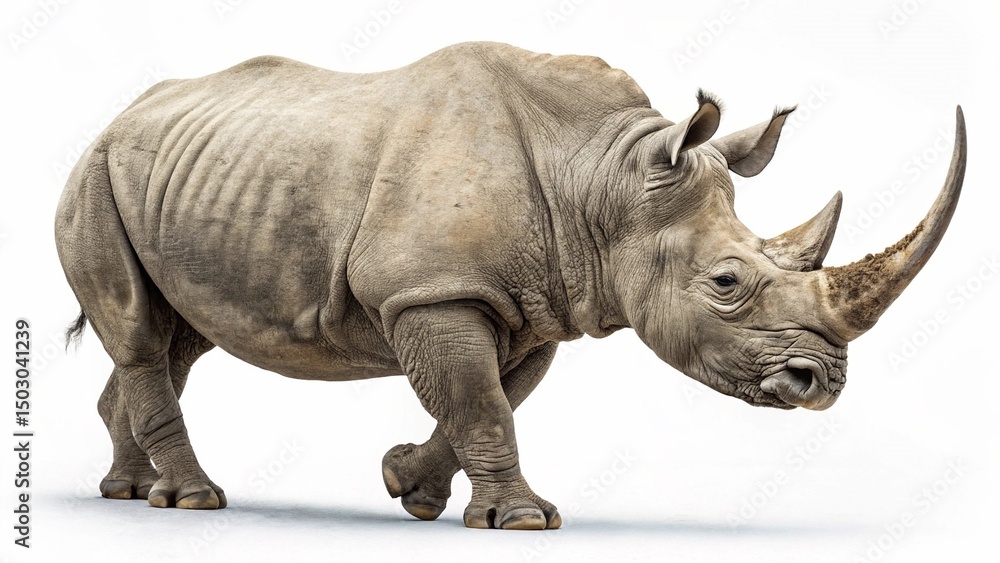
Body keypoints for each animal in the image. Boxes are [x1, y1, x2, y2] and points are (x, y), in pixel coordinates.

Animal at [55, 41, 966, 530]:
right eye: (727, 280)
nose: (822, 383)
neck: (602, 177)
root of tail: (116, 118)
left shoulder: (533, 303)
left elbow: (488, 397)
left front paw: (409, 485)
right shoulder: (434, 289)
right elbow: (481, 400)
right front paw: (524, 521)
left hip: (179, 175)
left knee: (177, 337)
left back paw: (132, 491)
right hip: (95, 174)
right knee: (140, 330)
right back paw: (195, 501)